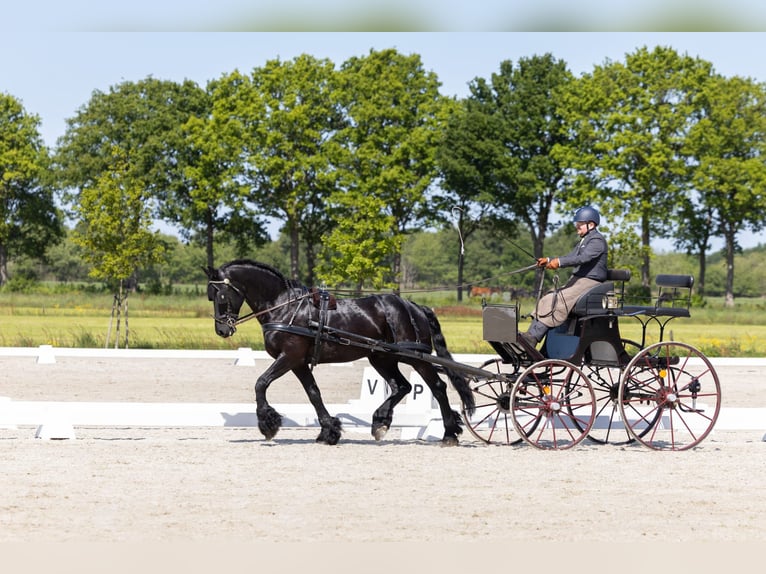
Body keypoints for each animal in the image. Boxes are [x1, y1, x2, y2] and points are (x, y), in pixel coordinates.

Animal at [204, 259, 475, 446]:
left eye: (220, 295)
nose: (222, 330)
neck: (284, 307)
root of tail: (415, 306)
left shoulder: (289, 357)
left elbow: (261, 383)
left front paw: (268, 424)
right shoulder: (299, 362)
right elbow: (314, 394)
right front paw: (329, 431)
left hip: (414, 357)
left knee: (438, 387)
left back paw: (449, 433)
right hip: (381, 358)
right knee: (402, 386)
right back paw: (380, 422)